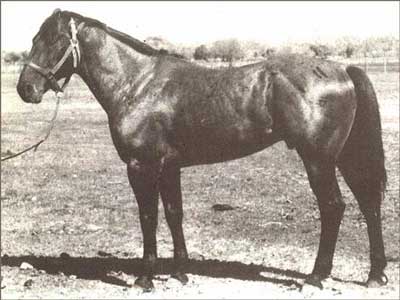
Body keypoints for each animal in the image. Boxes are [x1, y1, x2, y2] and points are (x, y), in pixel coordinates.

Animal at [16, 10, 388, 292]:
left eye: (54, 41)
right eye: (34, 39)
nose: (25, 89)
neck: (138, 84)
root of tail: (343, 68)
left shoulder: (141, 166)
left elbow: (148, 217)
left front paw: (145, 279)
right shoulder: (169, 166)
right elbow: (173, 214)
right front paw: (180, 272)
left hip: (318, 161)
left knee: (333, 207)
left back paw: (316, 276)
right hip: (345, 157)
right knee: (368, 203)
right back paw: (375, 275)